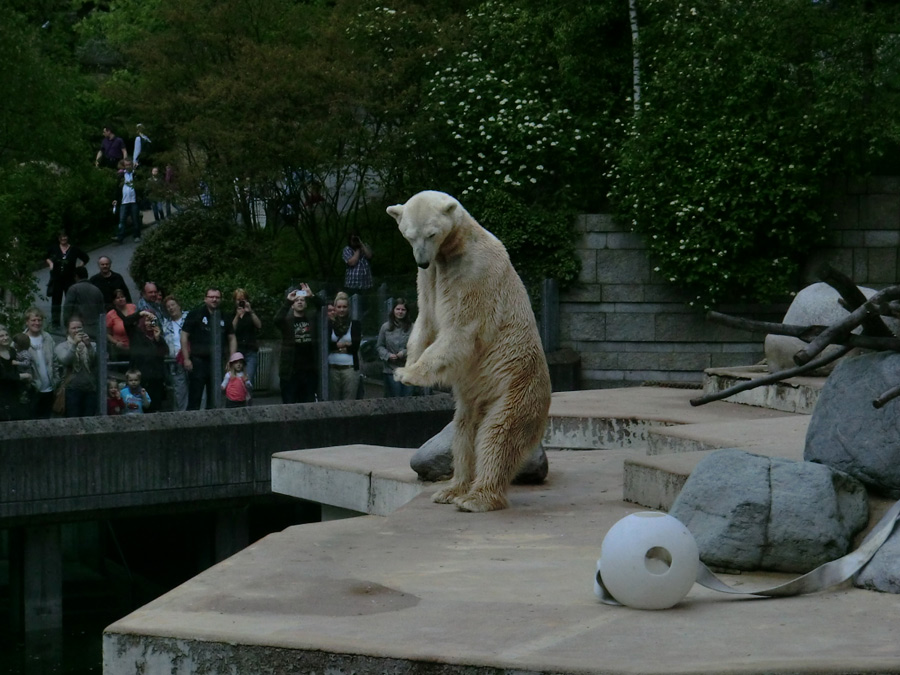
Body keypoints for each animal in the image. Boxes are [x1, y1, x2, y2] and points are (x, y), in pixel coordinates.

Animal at [384, 190, 552, 512]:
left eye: (431, 233)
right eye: (408, 235)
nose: (421, 261)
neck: (453, 247)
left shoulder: (473, 272)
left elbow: (460, 330)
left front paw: (408, 374)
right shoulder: (430, 278)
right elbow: (425, 319)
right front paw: (408, 363)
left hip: (515, 388)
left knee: (498, 434)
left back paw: (477, 498)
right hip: (474, 398)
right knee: (463, 433)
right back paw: (452, 489)